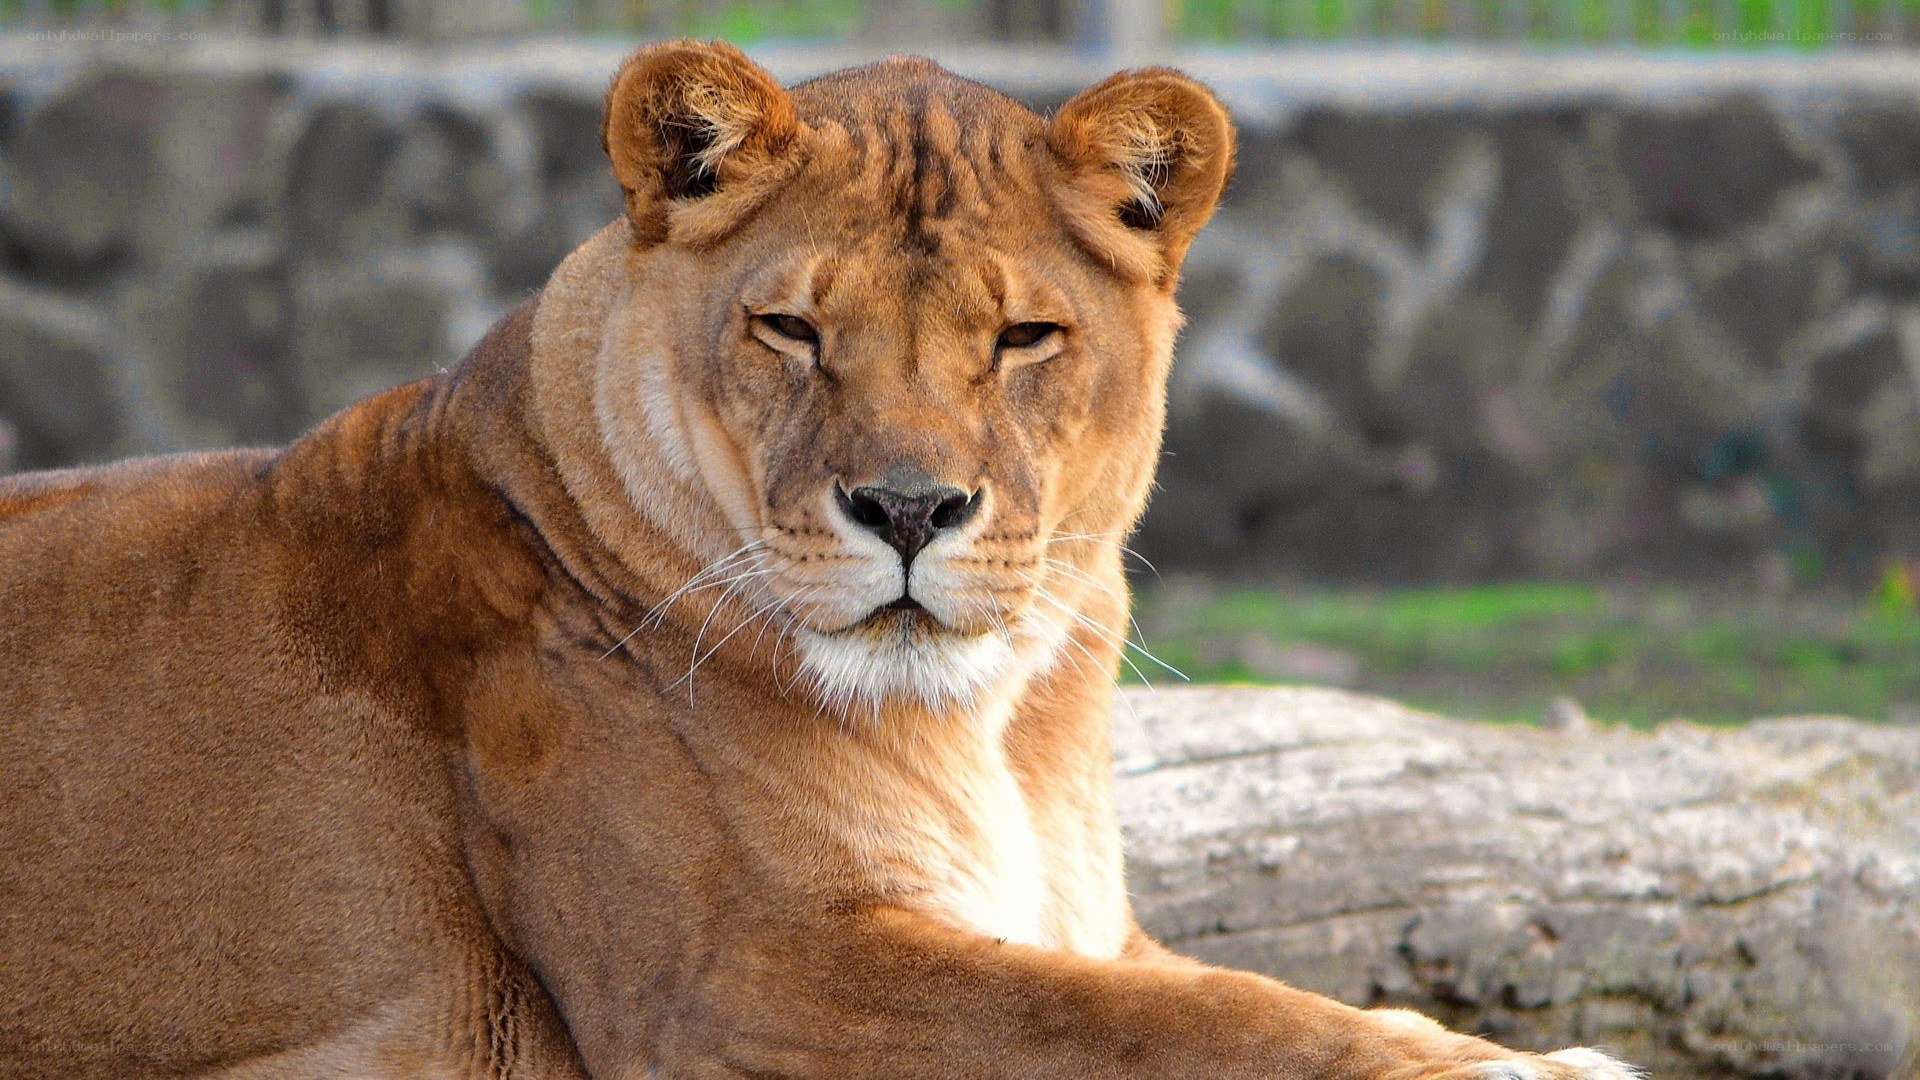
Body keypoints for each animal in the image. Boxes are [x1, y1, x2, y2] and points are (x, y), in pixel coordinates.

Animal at [0, 42, 1637, 1080]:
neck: (994, 725)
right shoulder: (741, 978)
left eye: (1023, 336)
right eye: (792, 328)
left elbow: (1245, 993)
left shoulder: (1082, 925)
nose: (907, 510)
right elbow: (1172, 1029)